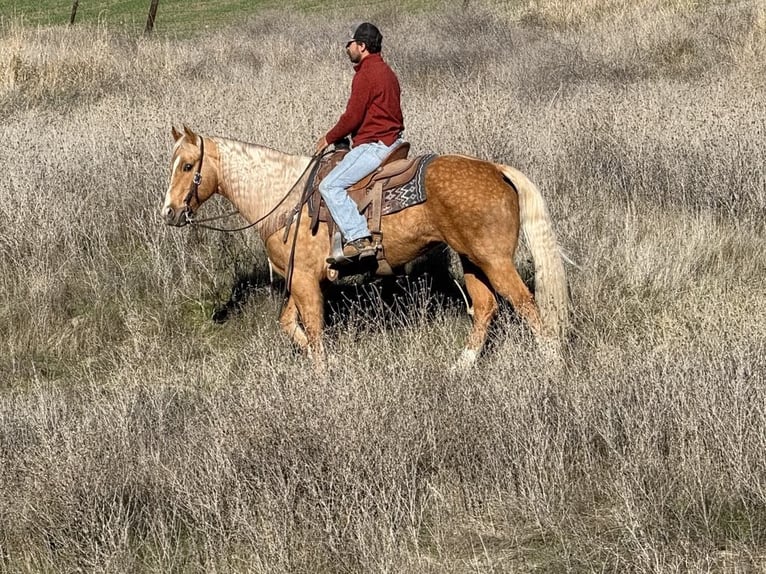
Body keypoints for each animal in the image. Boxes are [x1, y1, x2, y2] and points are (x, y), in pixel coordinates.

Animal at [162, 126, 568, 371]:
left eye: (187, 166)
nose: (169, 212)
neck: (285, 199)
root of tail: (497, 169)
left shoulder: (305, 281)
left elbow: (313, 329)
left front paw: (322, 376)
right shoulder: (298, 279)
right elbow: (290, 325)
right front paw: (324, 364)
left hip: (495, 260)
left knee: (526, 303)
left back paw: (551, 366)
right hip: (472, 259)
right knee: (486, 308)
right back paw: (461, 368)